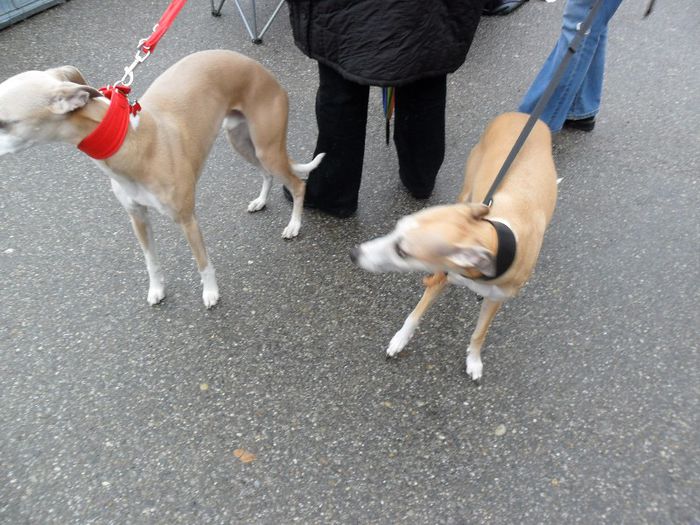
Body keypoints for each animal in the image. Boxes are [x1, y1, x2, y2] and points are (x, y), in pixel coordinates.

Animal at [0, 49, 322, 308]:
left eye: (3, 121)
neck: (130, 142)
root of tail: (263, 71)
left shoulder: (187, 218)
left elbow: (203, 261)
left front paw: (210, 293)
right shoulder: (137, 217)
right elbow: (151, 261)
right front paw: (157, 290)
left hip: (266, 146)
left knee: (297, 183)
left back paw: (294, 225)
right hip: (242, 141)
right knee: (267, 173)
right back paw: (261, 201)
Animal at [350, 112, 556, 378]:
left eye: (402, 251)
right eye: (396, 227)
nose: (354, 253)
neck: (496, 237)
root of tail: (523, 115)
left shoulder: (496, 299)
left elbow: (480, 333)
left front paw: (474, 360)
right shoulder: (441, 277)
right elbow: (413, 315)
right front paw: (399, 340)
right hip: (467, 191)